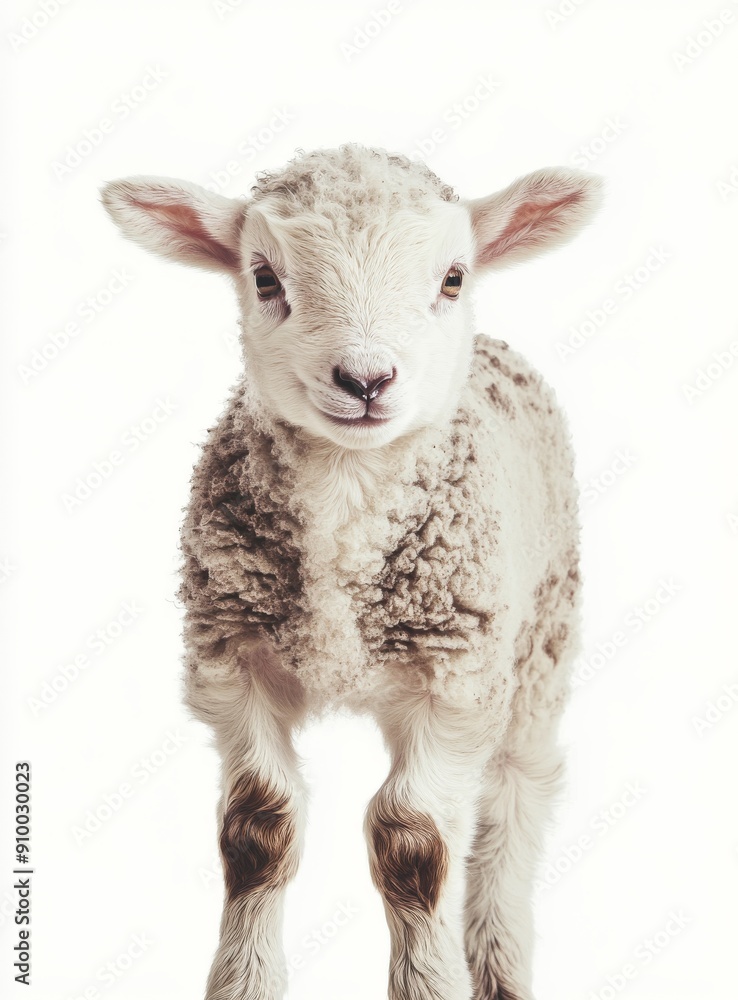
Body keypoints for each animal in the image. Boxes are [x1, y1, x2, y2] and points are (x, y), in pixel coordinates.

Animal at [101, 144, 601, 1000]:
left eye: (453, 277)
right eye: (264, 277)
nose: (366, 380)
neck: (348, 484)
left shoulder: (455, 676)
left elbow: (414, 842)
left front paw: (431, 983)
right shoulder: (232, 657)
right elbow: (257, 830)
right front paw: (244, 983)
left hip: (539, 636)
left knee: (512, 800)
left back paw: (501, 963)